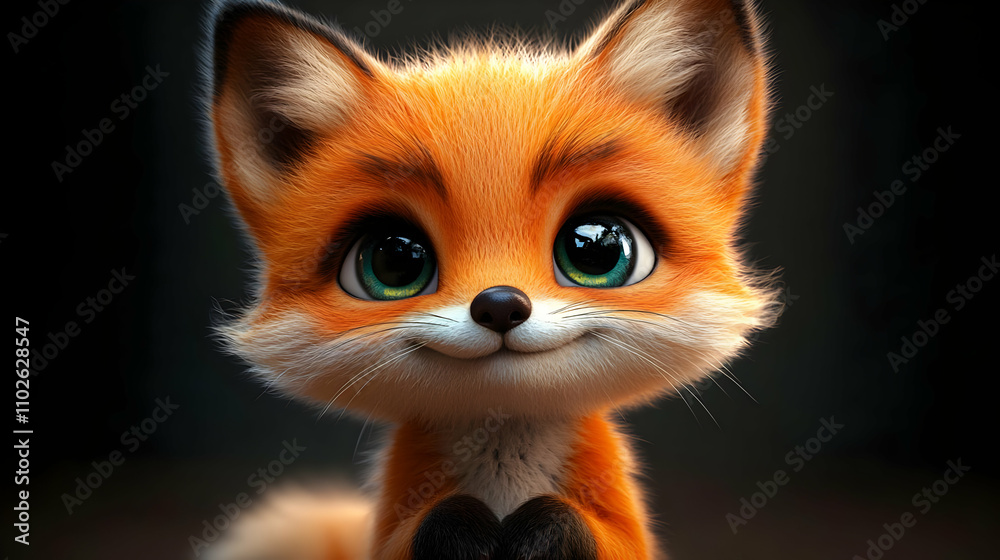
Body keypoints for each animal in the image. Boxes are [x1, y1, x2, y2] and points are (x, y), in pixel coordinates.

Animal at [203, 0, 777, 558]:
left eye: (597, 248)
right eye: (394, 260)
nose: (500, 304)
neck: (503, 488)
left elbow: (587, 531)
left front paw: (546, 530)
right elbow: (426, 527)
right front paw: (460, 529)